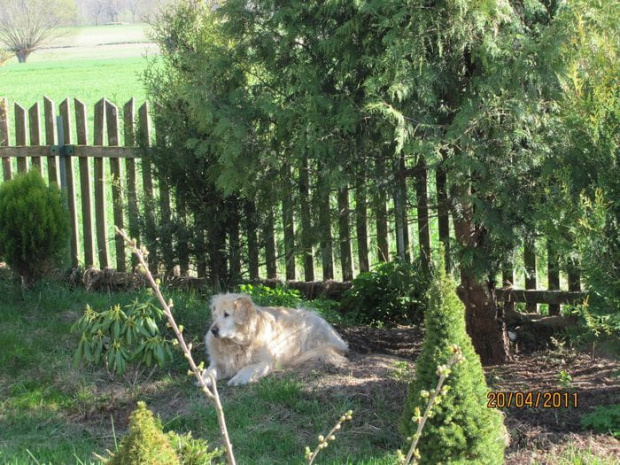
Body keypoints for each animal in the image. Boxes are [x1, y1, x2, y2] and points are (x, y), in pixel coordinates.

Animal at [202, 292, 348, 386]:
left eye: (226, 314)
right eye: (215, 316)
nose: (213, 330)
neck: (237, 343)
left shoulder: (266, 362)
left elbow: (247, 368)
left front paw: (238, 378)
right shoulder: (219, 362)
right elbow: (210, 370)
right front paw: (204, 379)